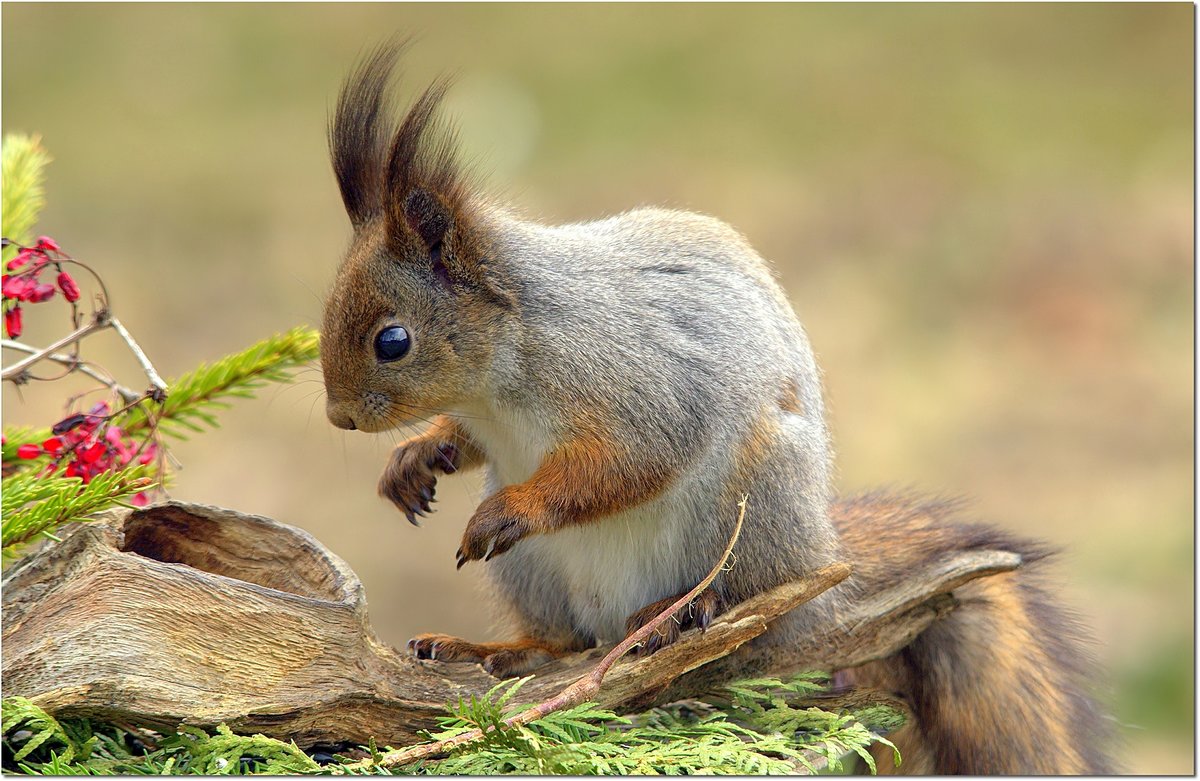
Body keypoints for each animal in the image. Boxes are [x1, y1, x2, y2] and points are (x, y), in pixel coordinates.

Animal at [319, 44, 1113, 777]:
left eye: (393, 340)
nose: (339, 418)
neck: (501, 370)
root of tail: (827, 567)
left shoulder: (635, 382)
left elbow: (628, 460)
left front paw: (511, 508)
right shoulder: (492, 424)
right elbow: (466, 442)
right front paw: (416, 459)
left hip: (750, 500)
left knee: (756, 609)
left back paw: (685, 613)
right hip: (539, 576)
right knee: (567, 642)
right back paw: (493, 649)